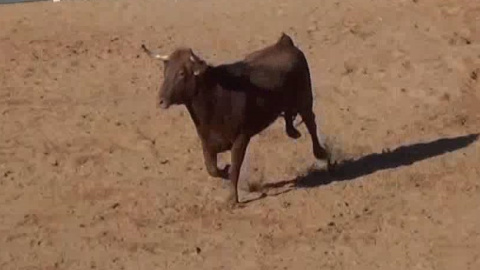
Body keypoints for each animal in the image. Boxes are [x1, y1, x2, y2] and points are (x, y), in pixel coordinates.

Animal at [141, 32, 332, 204]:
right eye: (165, 72)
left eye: (181, 73)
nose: (161, 100)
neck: (214, 97)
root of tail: (285, 43)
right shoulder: (207, 142)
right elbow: (212, 169)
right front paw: (224, 171)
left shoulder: (241, 138)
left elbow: (235, 167)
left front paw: (232, 199)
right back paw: (293, 132)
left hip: (305, 99)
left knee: (311, 123)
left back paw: (322, 153)